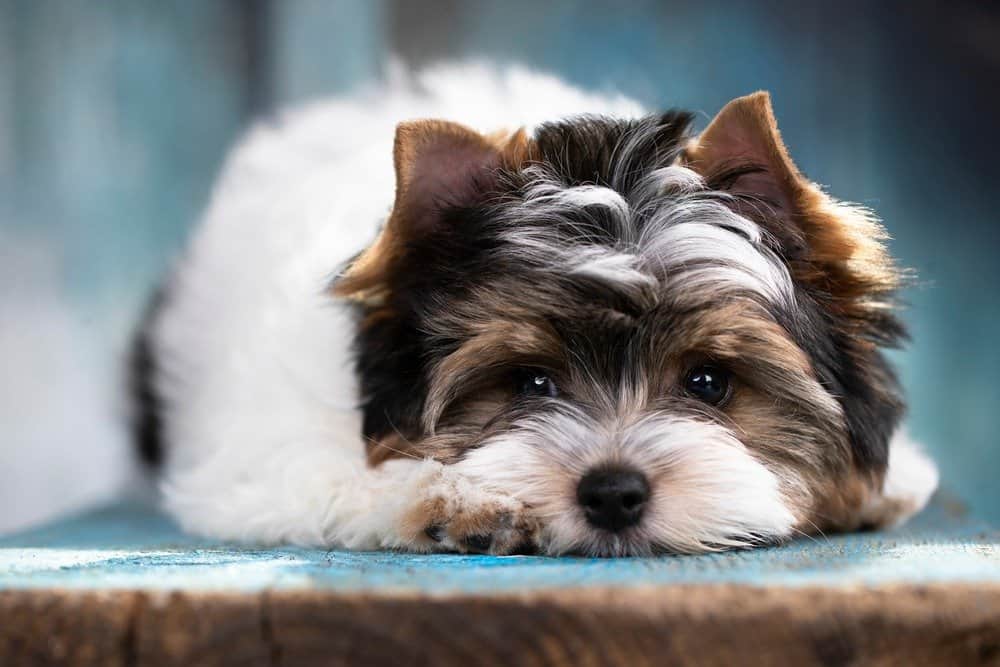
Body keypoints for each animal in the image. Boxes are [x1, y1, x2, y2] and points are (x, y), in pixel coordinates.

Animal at [133, 66, 936, 560]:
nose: (612, 493)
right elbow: (323, 475)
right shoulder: (256, 456)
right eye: (529, 383)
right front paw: (453, 500)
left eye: (709, 382)